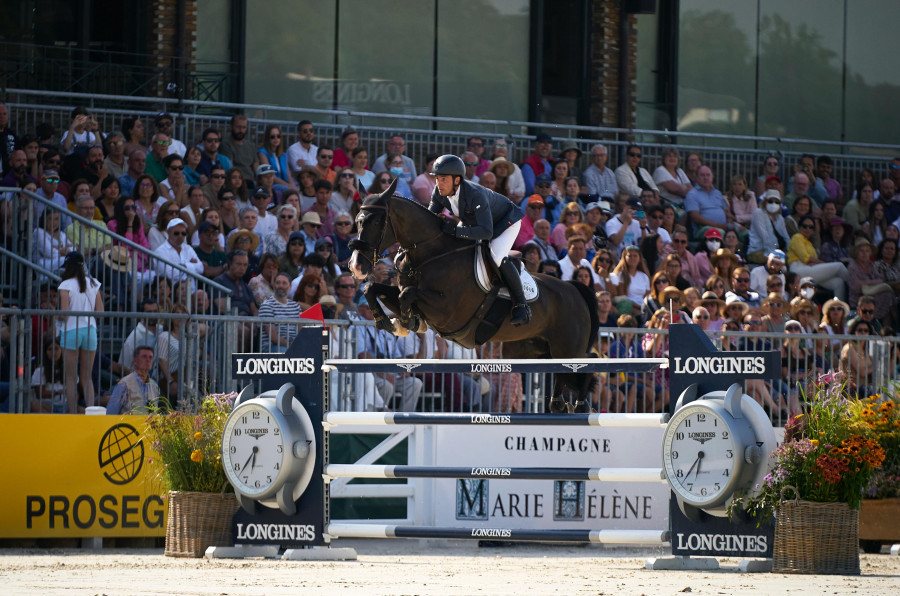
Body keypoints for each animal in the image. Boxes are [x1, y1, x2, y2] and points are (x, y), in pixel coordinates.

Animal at [350, 179, 596, 412]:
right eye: (357, 221)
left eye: (375, 222)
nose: (355, 266)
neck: (430, 253)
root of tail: (574, 288)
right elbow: (374, 289)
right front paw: (393, 323)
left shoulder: (448, 311)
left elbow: (406, 295)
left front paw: (407, 321)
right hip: (537, 350)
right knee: (566, 374)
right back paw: (560, 402)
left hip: (568, 348)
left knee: (588, 361)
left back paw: (580, 403)